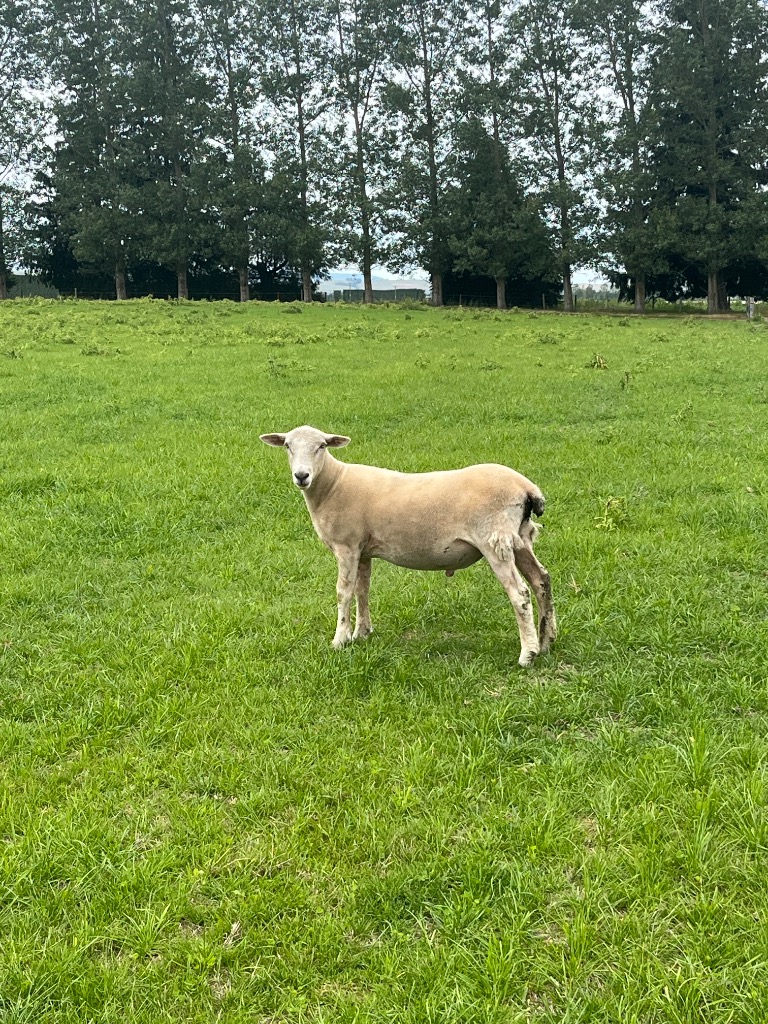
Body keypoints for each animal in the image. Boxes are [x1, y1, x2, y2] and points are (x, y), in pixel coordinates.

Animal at [260, 425, 556, 666]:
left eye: (321, 446)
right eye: (288, 446)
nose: (301, 476)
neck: (333, 484)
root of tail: (526, 487)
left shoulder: (346, 546)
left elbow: (343, 593)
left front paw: (340, 639)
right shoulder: (362, 549)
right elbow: (362, 590)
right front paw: (362, 633)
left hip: (495, 540)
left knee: (520, 594)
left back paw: (527, 654)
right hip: (520, 538)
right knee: (541, 580)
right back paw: (547, 641)